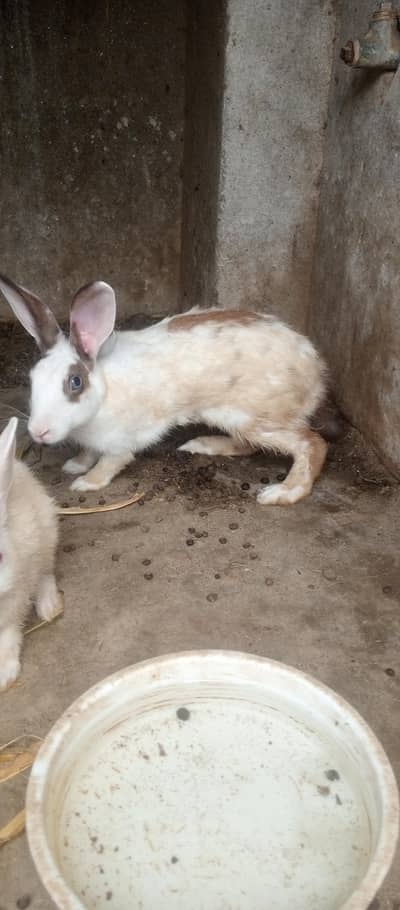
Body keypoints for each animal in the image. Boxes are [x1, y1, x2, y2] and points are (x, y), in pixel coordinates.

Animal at [0, 273, 336, 506]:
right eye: (32, 378)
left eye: (75, 382)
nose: (39, 432)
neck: (105, 392)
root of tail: (315, 368)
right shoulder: (92, 441)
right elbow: (87, 452)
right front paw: (74, 465)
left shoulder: (121, 443)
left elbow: (110, 463)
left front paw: (85, 482)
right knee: (247, 445)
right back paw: (201, 444)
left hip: (255, 417)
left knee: (311, 444)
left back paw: (282, 492)